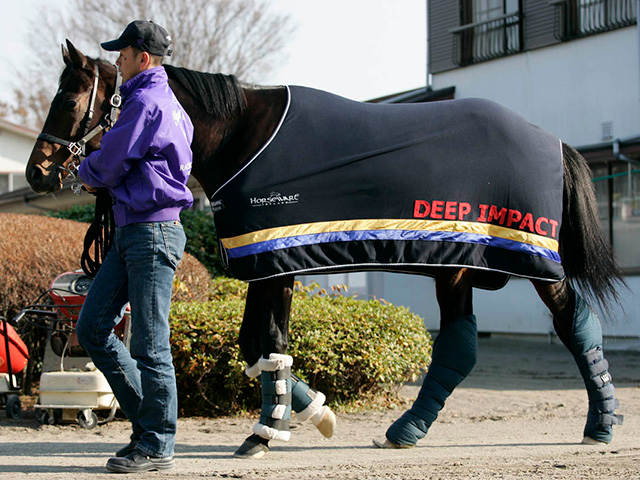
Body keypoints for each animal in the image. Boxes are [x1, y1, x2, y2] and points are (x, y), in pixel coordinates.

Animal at [27, 41, 624, 458]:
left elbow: (268, 341)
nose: (37, 171)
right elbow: (255, 346)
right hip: (458, 265)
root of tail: (554, 142)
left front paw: (266, 432)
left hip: (530, 260)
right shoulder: (264, 262)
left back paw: (602, 422)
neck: (244, 134)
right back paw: (407, 429)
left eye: (72, 98)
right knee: (462, 344)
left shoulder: (276, 264)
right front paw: (312, 413)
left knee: (572, 322)